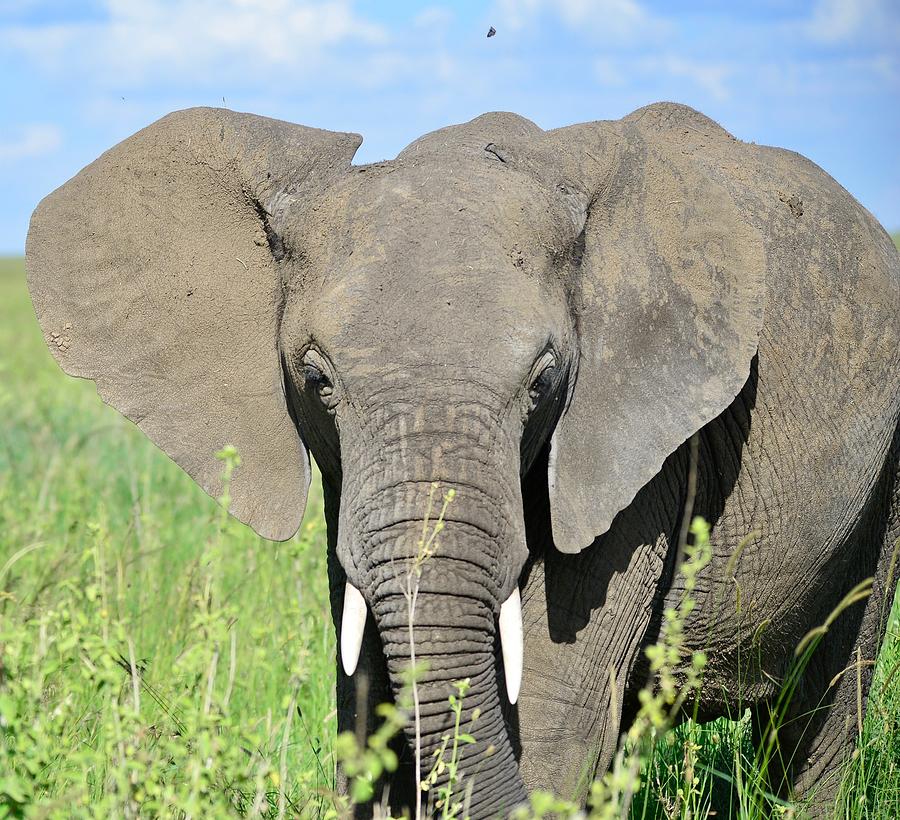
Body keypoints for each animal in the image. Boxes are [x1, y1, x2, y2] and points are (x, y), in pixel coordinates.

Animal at [26, 104, 900, 820]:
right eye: (317, 380)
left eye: (544, 381)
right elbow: (365, 691)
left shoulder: (638, 449)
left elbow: (551, 706)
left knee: (827, 702)